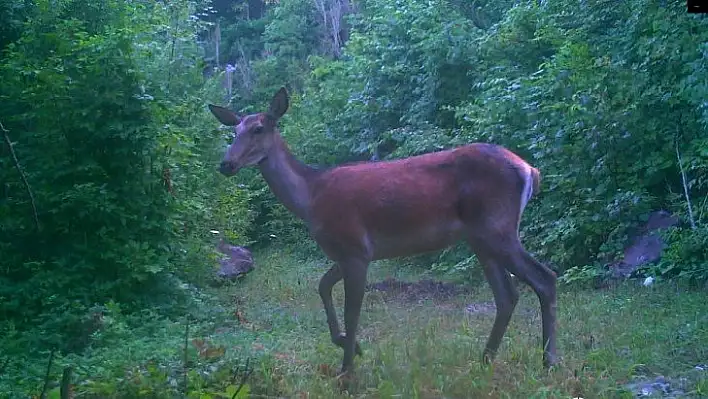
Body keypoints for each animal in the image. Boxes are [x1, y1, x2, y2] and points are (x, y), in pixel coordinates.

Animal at [209, 86, 560, 382]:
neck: (310, 196)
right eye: (234, 130)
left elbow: (352, 310)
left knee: (545, 278)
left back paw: (548, 361)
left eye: (258, 128)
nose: (225, 164)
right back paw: (485, 361)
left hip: (497, 228)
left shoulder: (355, 249)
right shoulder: (345, 252)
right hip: (481, 239)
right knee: (507, 295)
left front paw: (346, 371)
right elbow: (322, 286)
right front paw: (349, 346)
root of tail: (530, 170)